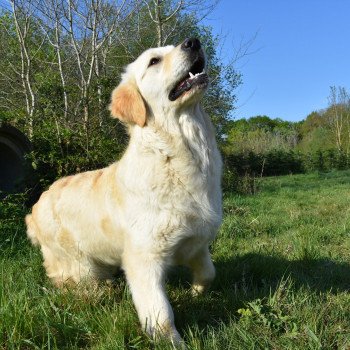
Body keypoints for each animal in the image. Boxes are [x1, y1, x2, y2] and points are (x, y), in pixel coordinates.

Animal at [25, 37, 221, 344]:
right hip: (78, 264)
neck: (181, 152)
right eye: (154, 61)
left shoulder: (196, 242)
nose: (193, 41)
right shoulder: (144, 257)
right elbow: (159, 311)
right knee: (75, 285)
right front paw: (171, 341)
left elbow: (208, 273)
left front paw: (196, 293)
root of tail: (35, 206)